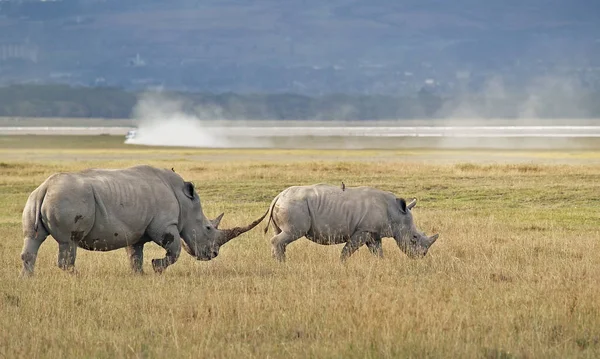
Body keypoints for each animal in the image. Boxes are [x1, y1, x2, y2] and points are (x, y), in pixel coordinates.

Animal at [20, 165, 268, 278]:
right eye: (208, 228)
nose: (213, 255)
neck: (186, 203)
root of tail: (45, 188)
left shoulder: (135, 231)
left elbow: (135, 255)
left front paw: (139, 275)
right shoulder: (165, 225)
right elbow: (174, 250)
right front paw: (157, 267)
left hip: (35, 199)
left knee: (33, 238)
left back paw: (27, 279)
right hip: (68, 199)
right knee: (68, 242)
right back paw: (78, 276)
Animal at [264, 186, 438, 262]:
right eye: (414, 237)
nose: (421, 256)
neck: (395, 213)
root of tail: (278, 196)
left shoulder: (373, 232)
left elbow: (378, 251)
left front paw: (381, 264)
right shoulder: (363, 230)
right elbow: (347, 250)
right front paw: (341, 263)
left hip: (287, 205)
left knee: (279, 233)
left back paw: (276, 262)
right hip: (294, 205)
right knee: (288, 235)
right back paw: (282, 263)